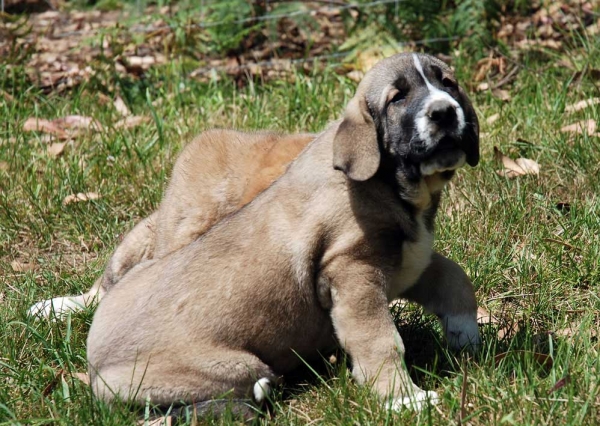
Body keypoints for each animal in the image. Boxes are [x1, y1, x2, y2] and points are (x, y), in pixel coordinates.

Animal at [85, 53, 482, 412]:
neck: (389, 183)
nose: (444, 112)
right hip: (232, 364)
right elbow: (381, 340)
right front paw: (404, 399)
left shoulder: (411, 259)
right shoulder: (354, 276)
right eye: (397, 98)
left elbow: (455, 278)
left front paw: (467, 336)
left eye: (448, 83)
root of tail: (93, 364)